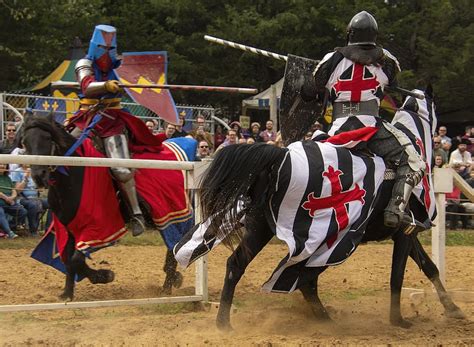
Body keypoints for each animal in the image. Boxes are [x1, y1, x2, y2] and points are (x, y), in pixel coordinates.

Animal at [22, 113, 184, 300]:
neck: (75, 176)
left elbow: (76, 260)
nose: (39, 176)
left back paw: (168, 284)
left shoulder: (98, 229)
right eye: (25, 142)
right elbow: (68, 260)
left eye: (48, 138)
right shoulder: (68, 226)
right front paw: (67, 293)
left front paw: (104, 275)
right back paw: (172, 278)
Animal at [182, 89, 466, 328]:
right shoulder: (404, 234)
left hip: (261, 229)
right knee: (303, 279)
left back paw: (226, 323)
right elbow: (397, 275)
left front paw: (453, 309)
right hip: (320, 239)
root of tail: (280, 156)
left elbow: (430, 267)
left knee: (241, 265)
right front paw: (398, 320)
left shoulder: (407, 233)